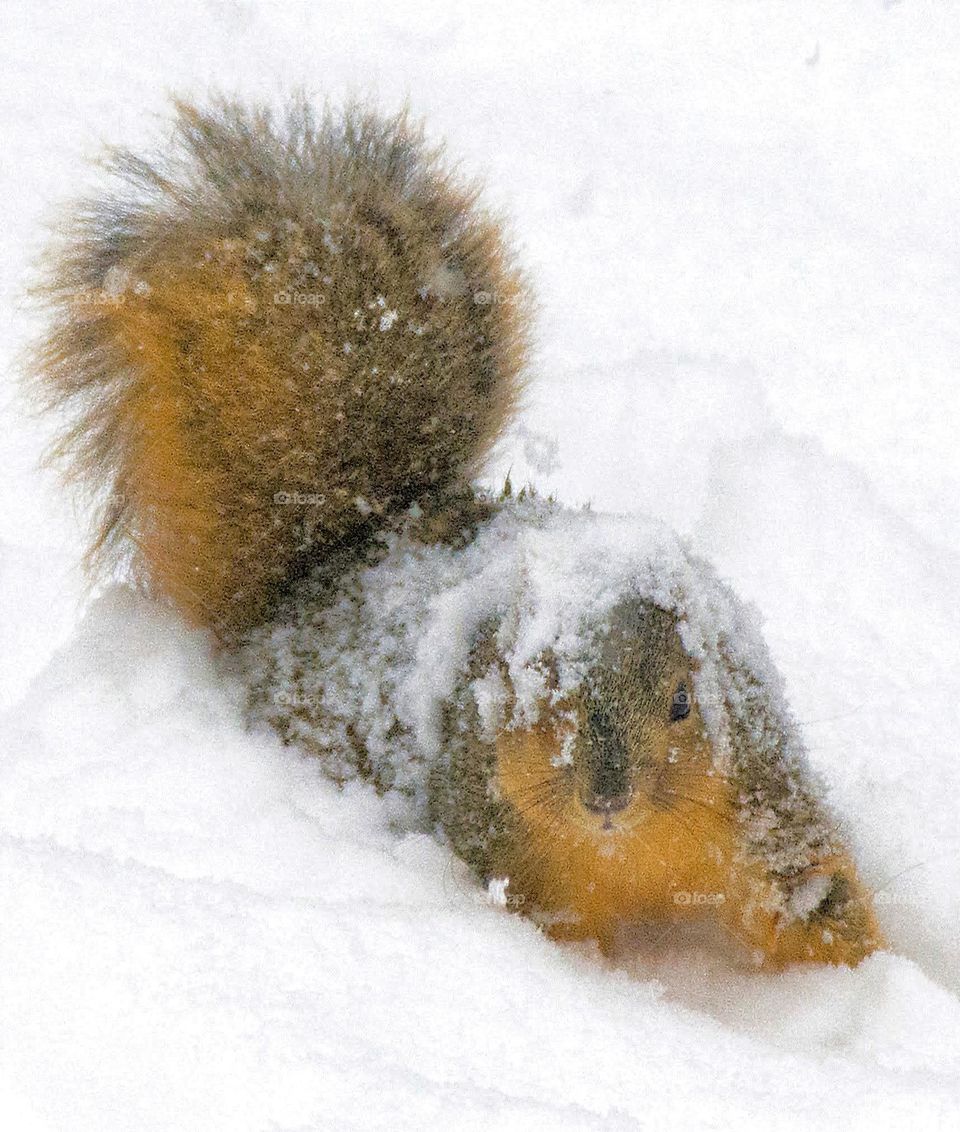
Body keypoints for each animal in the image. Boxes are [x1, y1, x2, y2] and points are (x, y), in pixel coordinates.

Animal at [28, 95, 883, 973]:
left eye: (685, 702)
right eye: (534, 694)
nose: (605, 795)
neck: (633, 849)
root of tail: (334, 569)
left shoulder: (759, 792)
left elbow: (800, 883)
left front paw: (844, 941)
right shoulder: (504, 846)